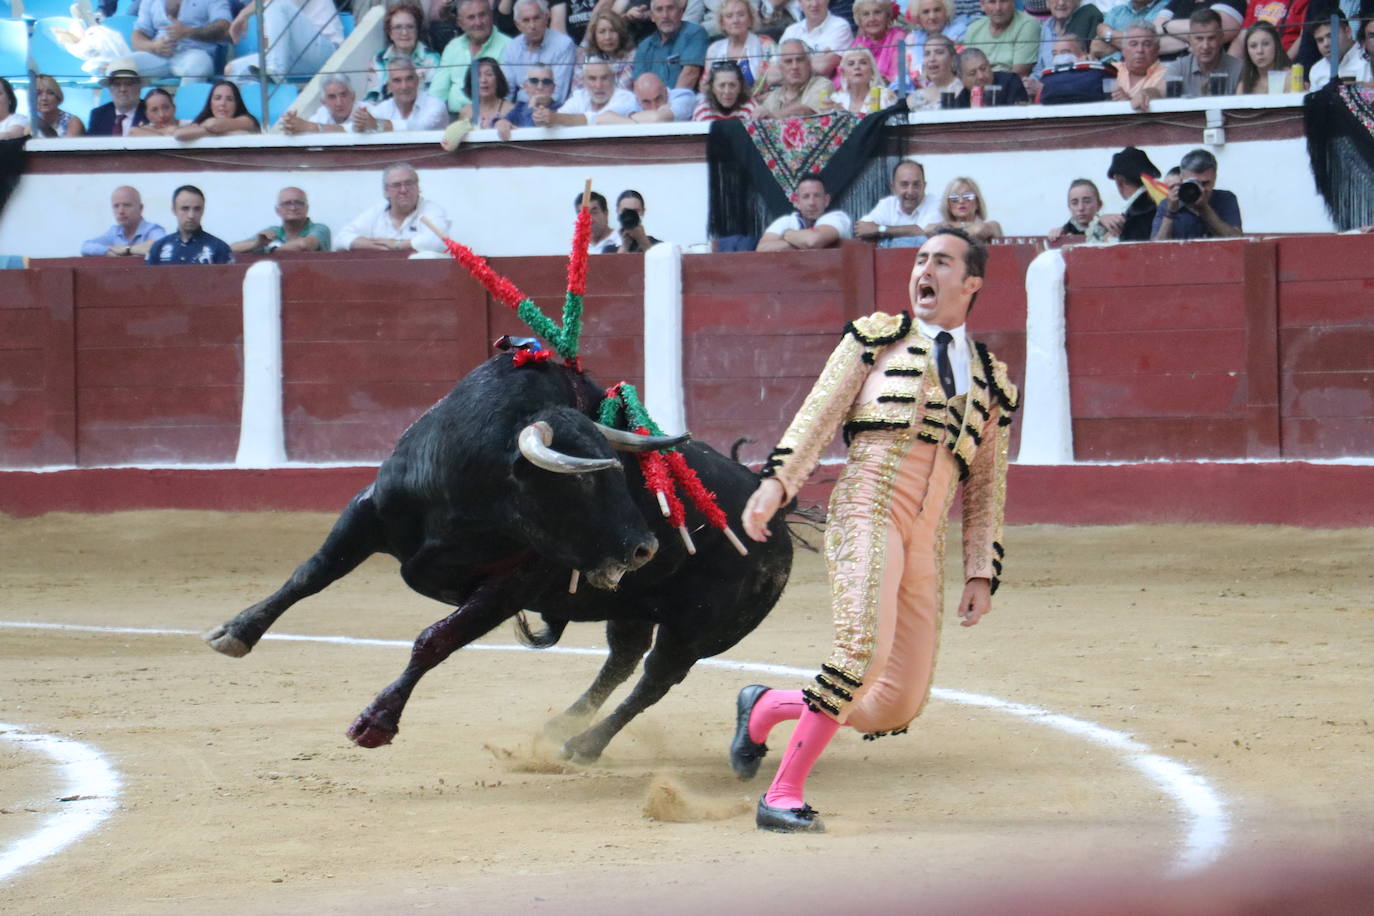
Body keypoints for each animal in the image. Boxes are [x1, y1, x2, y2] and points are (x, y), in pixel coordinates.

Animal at [203, 351, 796, 758]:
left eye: (618, 472)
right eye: (584, 480)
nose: (644, 547)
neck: (472, 489)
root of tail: (782, 525)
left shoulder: (514, 585)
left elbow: (434, 640)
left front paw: (375, 723)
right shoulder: (368, 511)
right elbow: (312, 573)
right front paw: (237, 632)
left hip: (698, 630)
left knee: (654, 679)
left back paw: (583, 746)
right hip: (632, 607)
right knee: (622, 659)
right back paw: (563, 725)